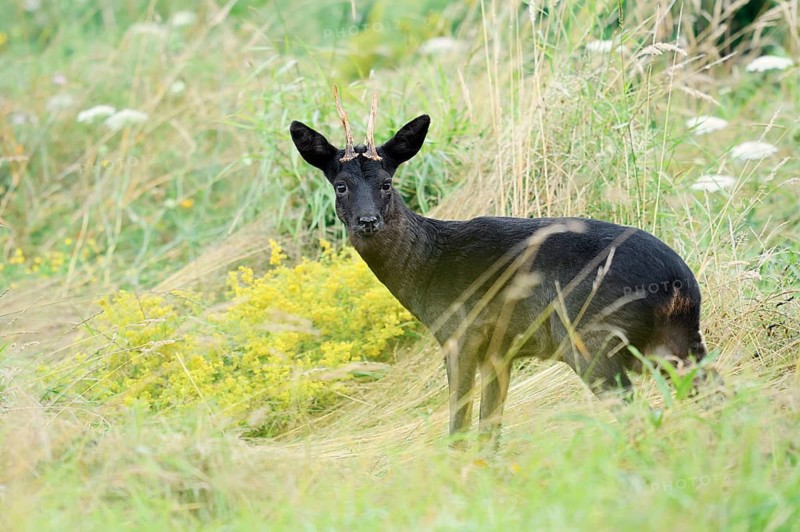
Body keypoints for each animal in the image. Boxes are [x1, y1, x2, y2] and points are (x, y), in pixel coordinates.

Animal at [289, 86, 707, 447]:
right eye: (341, 185)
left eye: (387, 183)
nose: (368, 221)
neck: (429, 267)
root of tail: (680, 284)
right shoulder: (500, 351)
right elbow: (489, 432)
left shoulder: (462, 334)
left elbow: (459, 427)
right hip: (677, 341)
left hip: (593, 338)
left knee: (641, 414)